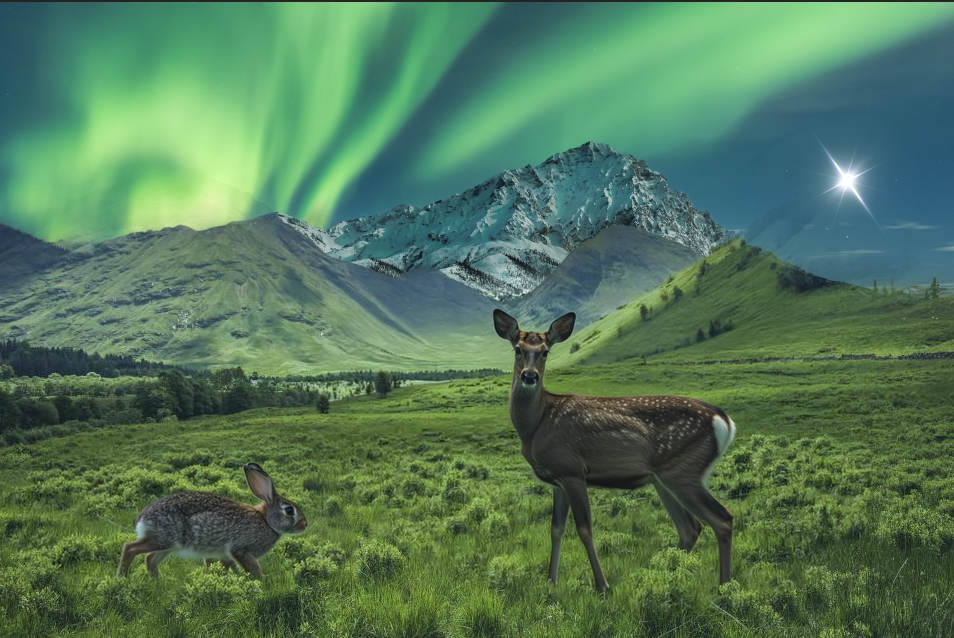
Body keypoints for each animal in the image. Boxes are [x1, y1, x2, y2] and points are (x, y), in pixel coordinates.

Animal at [493, 309, 736, 592]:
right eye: (517, 349)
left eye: (545, 352)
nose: (530, 376)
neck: (538, 424)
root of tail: (724, 421)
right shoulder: (557, 480)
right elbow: (555, 529)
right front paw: (551, 582)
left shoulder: (572, 469)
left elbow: (585, 530)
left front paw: (602, 586)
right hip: (665, 478)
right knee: (690, 528)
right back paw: (664, 576)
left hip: (684, 471)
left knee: (722, 519)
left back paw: (724, 588)